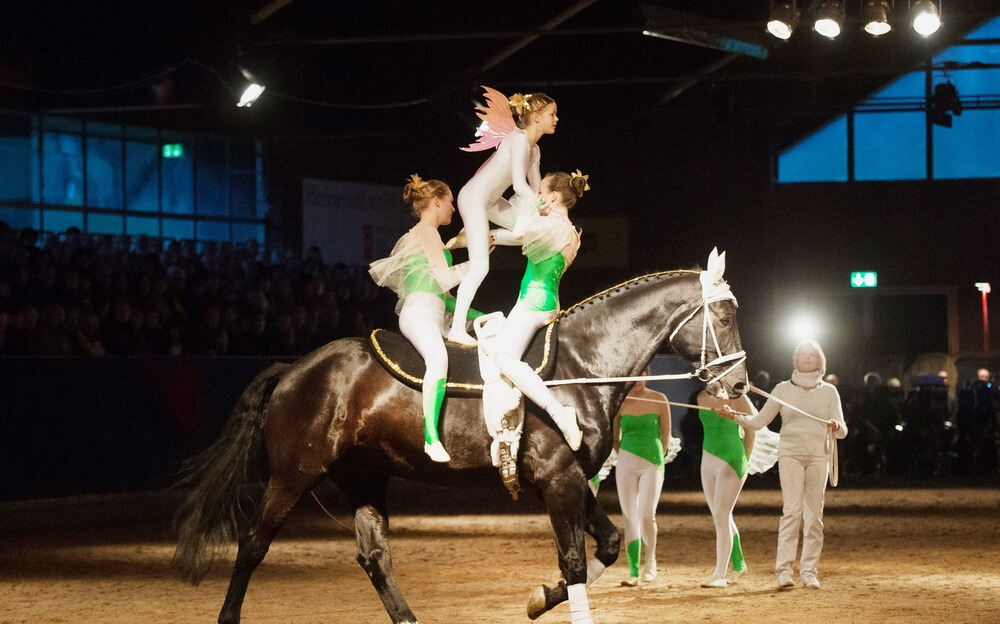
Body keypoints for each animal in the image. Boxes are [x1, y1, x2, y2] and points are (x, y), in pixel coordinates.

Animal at [176, 264, 748, 624]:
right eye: (724, 317)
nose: (740, 385)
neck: (580, 367)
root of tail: (294, 368)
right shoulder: (558, 481)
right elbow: (575, 563)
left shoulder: (570, 478)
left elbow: (605, 545)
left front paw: (537, 600)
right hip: (294, 474)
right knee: (253, 544)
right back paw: (228, 616)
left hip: (363, 476)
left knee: (373, 556)